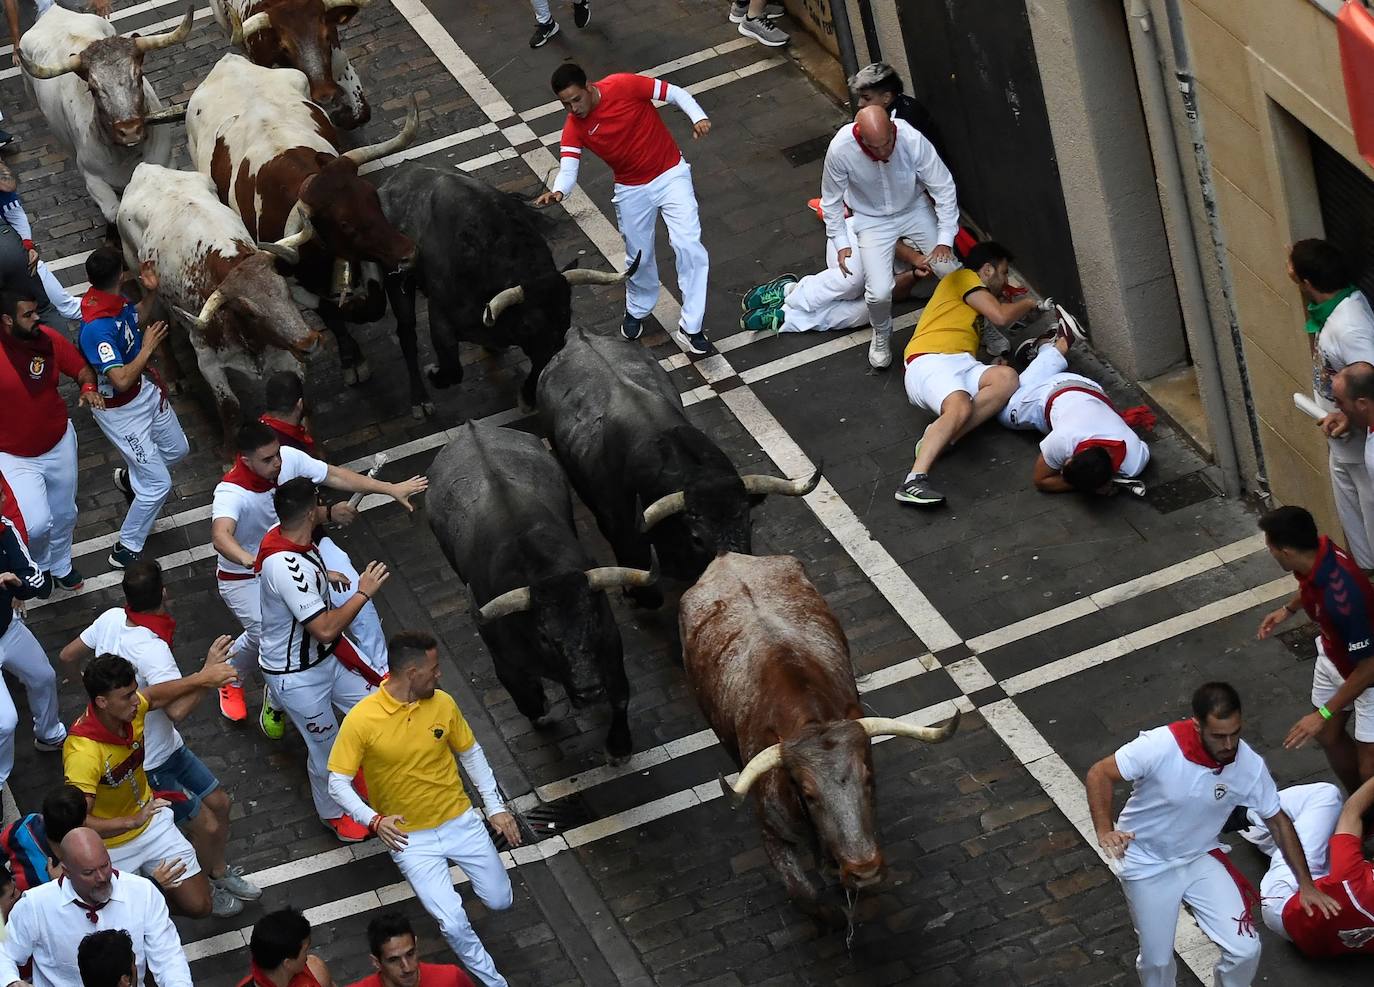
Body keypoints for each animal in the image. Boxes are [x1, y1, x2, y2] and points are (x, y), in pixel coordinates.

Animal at [376, 164, 632, 417]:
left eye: (566, 315)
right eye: (528, 325)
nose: (556, 357)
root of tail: (397, 174)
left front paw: (527, 397)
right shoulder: (440, 315)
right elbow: (452, 368)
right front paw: (433, 373)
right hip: (397, 282)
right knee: (406, 333)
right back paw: (419, 400)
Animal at [425, 420, 656, 764]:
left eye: (591, 624)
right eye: (545, 637)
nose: (589, 690)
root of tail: (471, 428)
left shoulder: (610, 645)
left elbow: (620, 696)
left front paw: (619, 746)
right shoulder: (505, 663)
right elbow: (527, 699)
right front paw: (545, 710)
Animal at [676, 552, 956, 923]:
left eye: (868, 778)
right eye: (808, 794)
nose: (865, 870)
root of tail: (726, 558)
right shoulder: (771, 831)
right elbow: (804, 894)